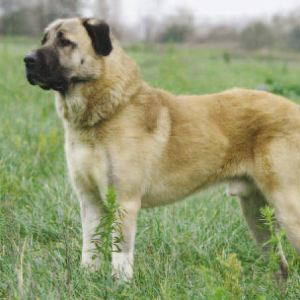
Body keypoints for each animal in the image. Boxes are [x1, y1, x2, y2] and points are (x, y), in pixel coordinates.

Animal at [24, 17, 300, 280]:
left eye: (65, 42)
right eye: (44, 39)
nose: (27, 60)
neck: (106, 111)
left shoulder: (125, 202)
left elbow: (120, 259)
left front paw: (120, 289)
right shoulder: (90, 201)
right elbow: (89, 252)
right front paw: (87, 282)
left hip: (288, 208)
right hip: (256, 213)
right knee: (281, 267)